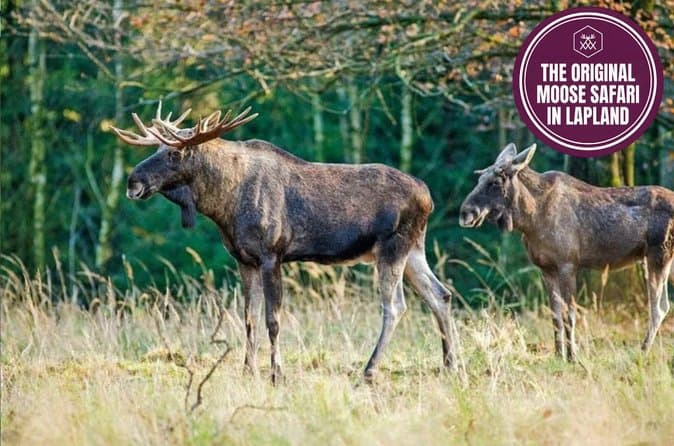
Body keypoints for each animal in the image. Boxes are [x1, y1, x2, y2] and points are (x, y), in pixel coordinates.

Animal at [111, 102, 456, 383]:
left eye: (174, 152)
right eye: (155, 148)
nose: (132, 182)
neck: (223, 205)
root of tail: (428, 197)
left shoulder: (271, 254)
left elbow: (272, 320)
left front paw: (277, 374)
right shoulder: (243, 259)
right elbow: (248, 318)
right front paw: (247, 371)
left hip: (391, 248)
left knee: (396, 305)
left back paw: (370, 370)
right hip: (413, 250)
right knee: (441, 294)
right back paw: (451, 365)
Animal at [459, 143, 674, 361]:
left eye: (495, 182)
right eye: (479, 178)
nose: (465, 213)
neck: (530, 218)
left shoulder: (568, 264)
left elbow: (569, 314)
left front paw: (572, 356)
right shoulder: (546, 268)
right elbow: (555, 315)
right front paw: (558, 354)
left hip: (658, 255)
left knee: (658, 308)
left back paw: (643, 350)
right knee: (664, 305)